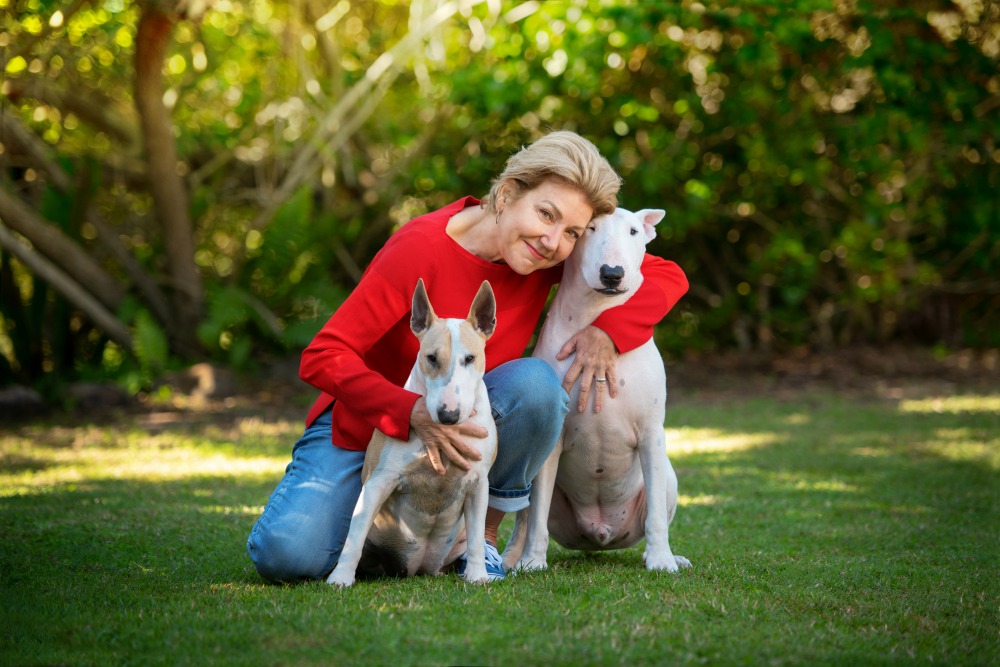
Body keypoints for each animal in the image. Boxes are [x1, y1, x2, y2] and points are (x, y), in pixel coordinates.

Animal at [328, 280, 500, 588]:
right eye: (431, 357)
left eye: (470, 358)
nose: (447, 415)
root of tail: (418, 568)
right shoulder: (378, 481)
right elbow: (354, 535)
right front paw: (340, 578)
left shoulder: (479, 482)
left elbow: (477, 536)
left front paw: (478, 575)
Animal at [504, 207, 692, 576]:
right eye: (589, 229)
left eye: (634, 231)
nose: (612, 274)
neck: (595, 311)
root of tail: (600, 534)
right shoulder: (552, 444)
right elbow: (536, 518)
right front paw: (533, 561)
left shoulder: (651, 433)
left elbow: (657, 517)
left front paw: (662, 559)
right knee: (525, 516)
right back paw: (512, 559)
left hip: (668, 481)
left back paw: (668, 555)